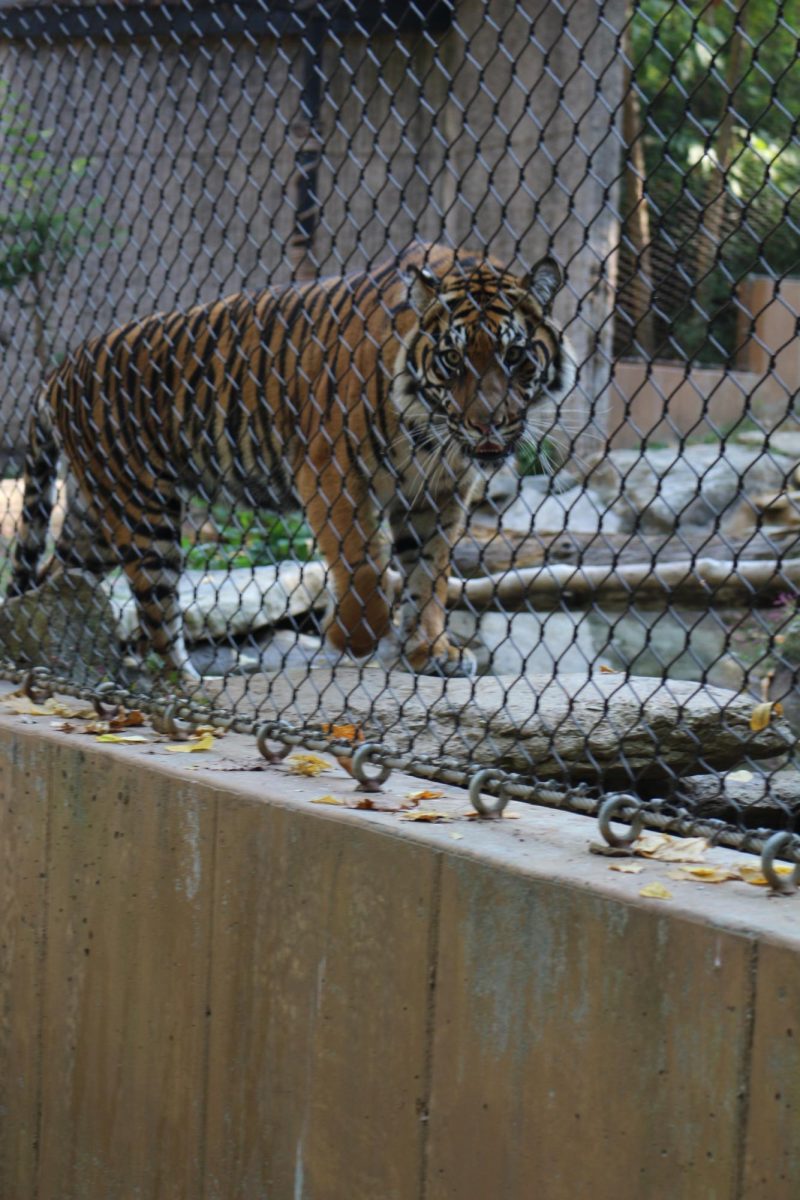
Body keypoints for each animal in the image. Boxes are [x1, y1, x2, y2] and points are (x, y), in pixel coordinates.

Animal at [10, 242, 575, 676]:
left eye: (515, 357)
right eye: (453, 359)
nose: (486, 423)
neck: (432, 433)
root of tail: (59, 372)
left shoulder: (438, 494)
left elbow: (429, 575)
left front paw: (431, 651)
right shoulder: (332, 469)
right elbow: (364, 562)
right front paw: (355, 638)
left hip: (96, 518)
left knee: (54, 573)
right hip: (144, 517)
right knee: (158, 617)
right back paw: (185, 687)